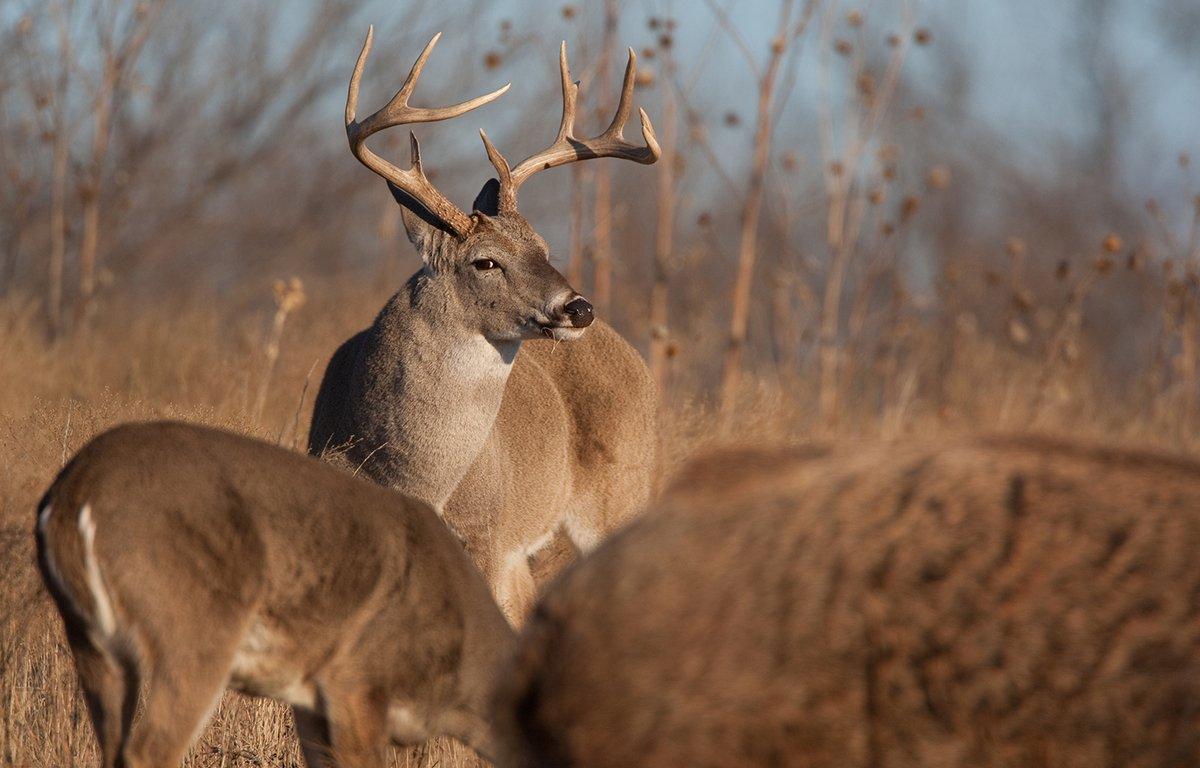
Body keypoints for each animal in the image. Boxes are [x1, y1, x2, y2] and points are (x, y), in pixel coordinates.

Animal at [35, 420, 513, 768]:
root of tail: (72, 494)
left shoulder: (311, 701)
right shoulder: (356, 682)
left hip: (93, 641)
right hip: (195, 630)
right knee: (147, 751)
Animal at [309, 30, 662, 624]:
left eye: (543, 247)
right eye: (486, 262)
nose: (579, 308)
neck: (417, 477)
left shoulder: (485, 538)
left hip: (623, 491)